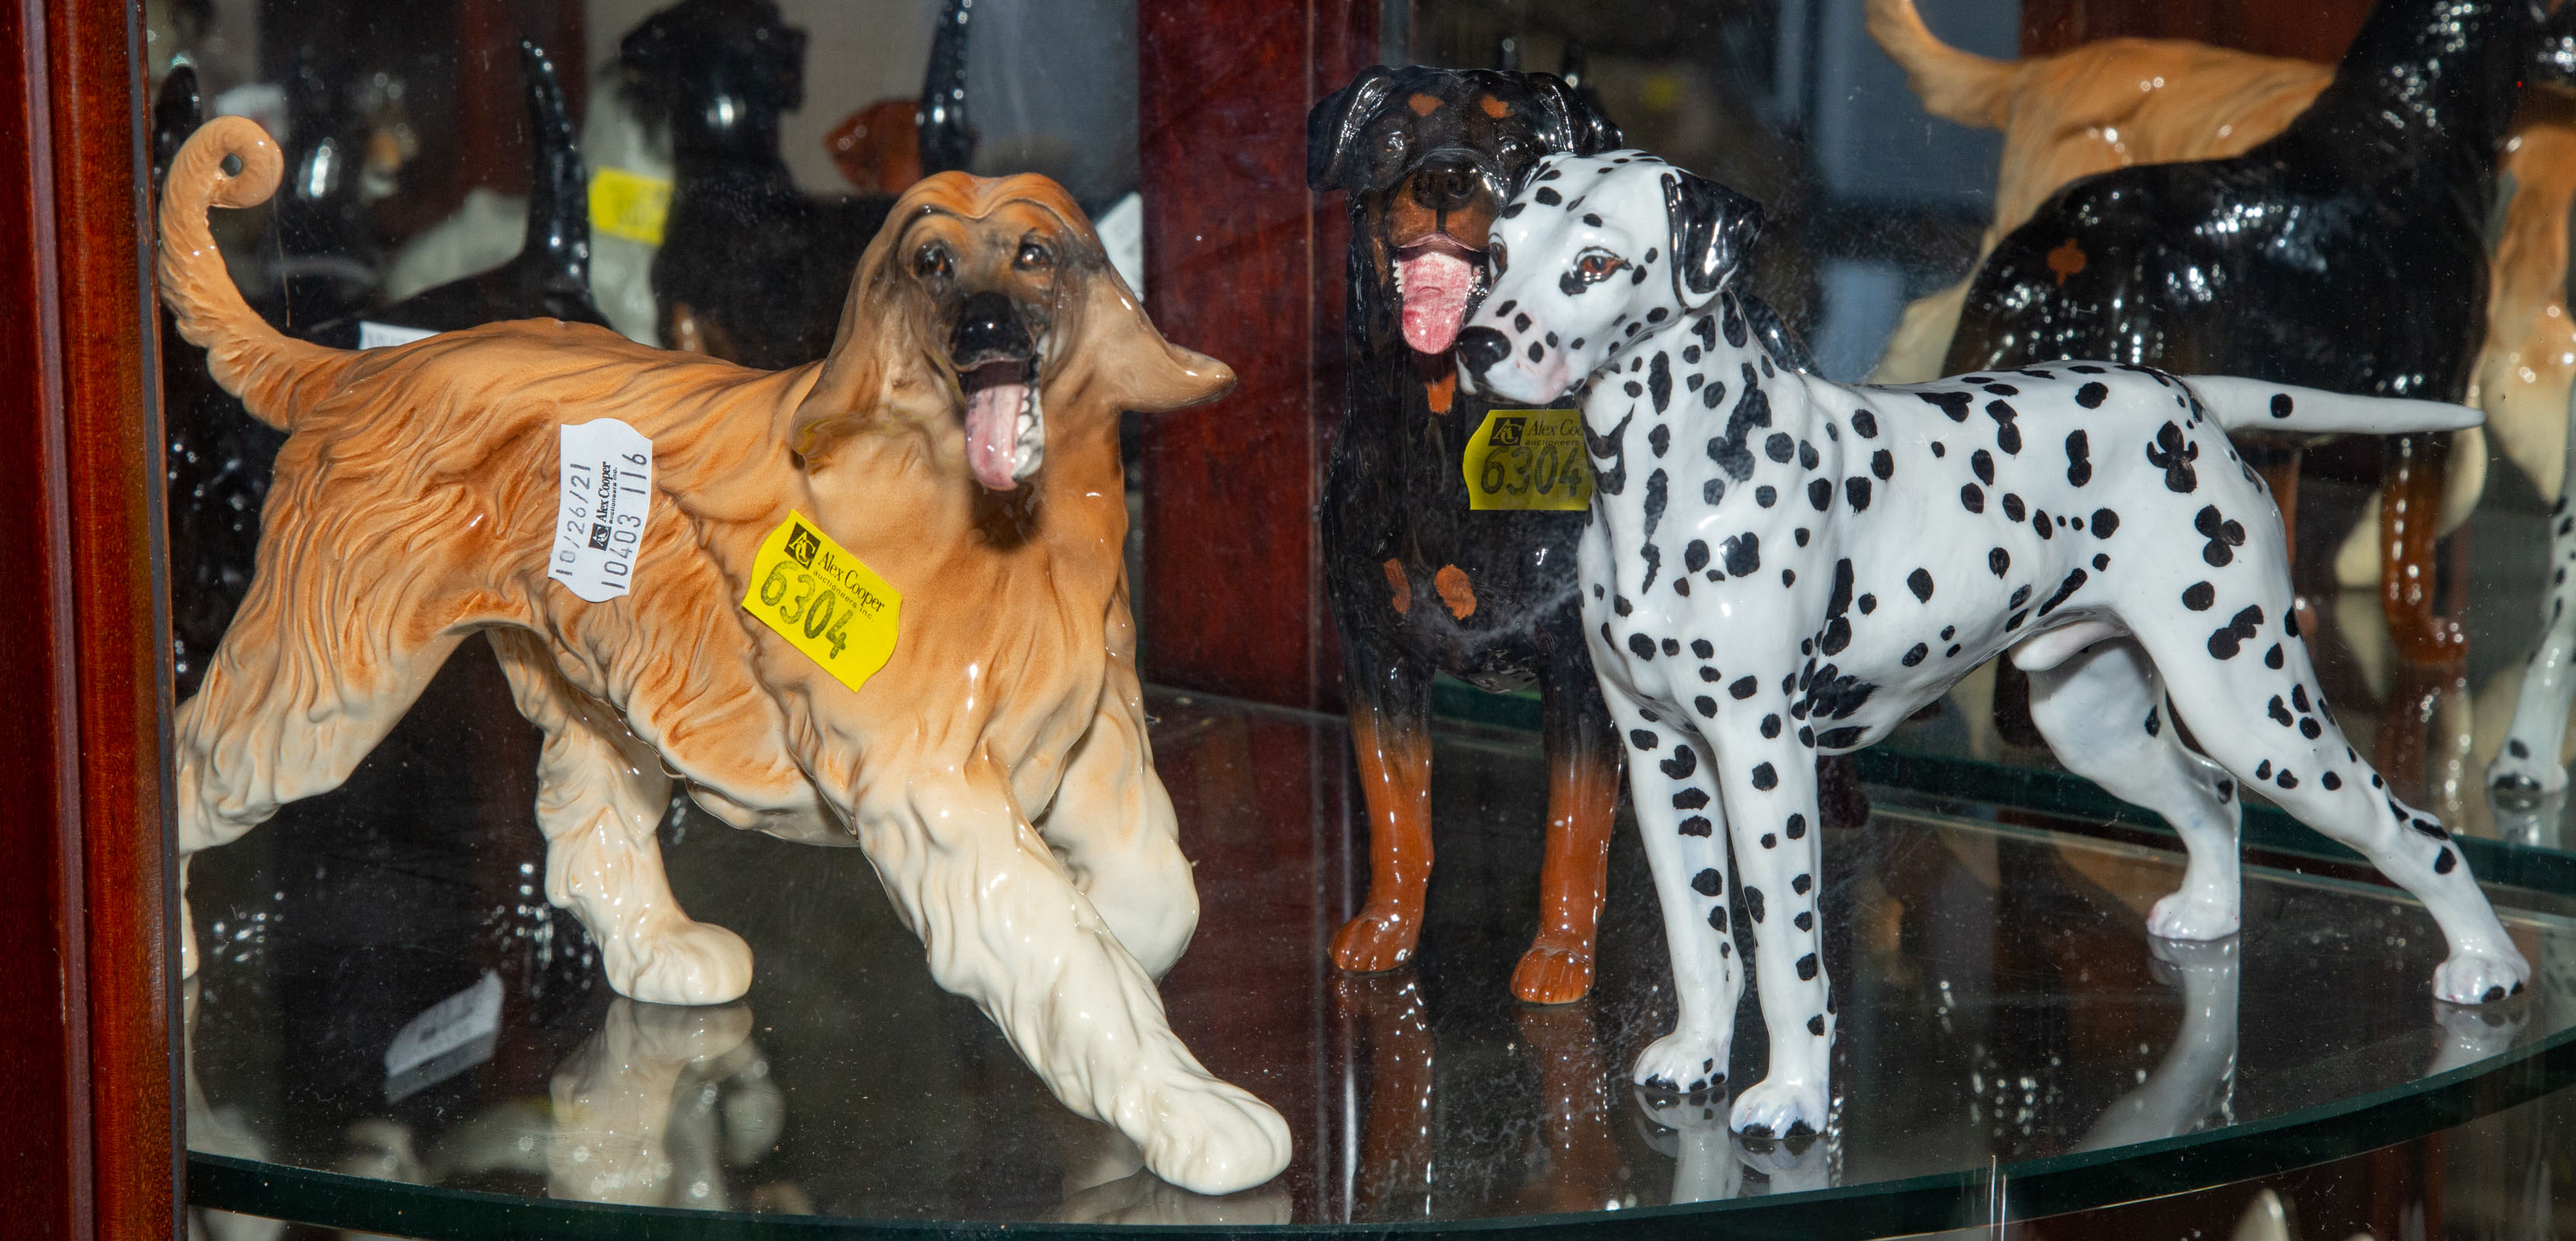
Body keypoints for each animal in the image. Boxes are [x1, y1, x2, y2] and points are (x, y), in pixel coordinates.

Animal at [1463, 150, 2524, 1138]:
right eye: (1498, 252)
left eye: (1595, 262)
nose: (1475, 341)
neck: (1680, 480)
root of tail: (2183, 399)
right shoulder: (1661, 761)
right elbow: (1700, 939)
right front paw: (1696, 1050)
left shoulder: (1764, 766)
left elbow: (1787, 956)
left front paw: (1795, 1094)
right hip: (2099, 726)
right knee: (2211, 800)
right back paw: (2211, 914)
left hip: (2258, 715)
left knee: (2415, 834)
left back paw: (2486, 963)